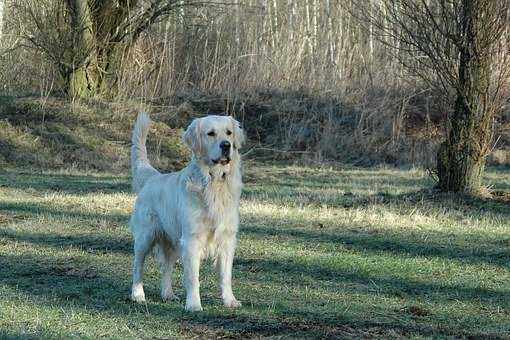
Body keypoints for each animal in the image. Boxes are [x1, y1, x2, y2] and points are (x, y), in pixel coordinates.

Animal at [129, 112, 245, 310]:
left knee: (166, 267)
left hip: (172, 241)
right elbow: (193, 277)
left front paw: (230, 300)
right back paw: (138, 294)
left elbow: (226, 276)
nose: (226, 145)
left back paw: (168, 294)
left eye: (229, 133)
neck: (213, 181)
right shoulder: (191, 239)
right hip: (146, 236)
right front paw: (193, 304)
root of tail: (153, 177)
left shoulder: (227, 239)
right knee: (138, 266)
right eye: (211, 133)